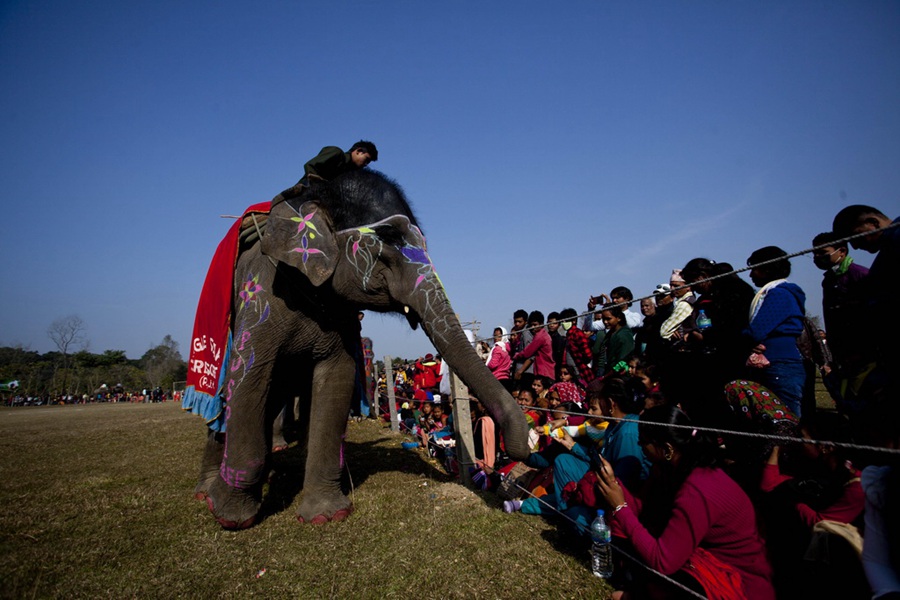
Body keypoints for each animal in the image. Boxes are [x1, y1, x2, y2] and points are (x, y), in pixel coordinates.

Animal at [191, 170, 528, 528]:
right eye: (389, 240)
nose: (517, 453)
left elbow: (337, 378)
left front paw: (327, 515)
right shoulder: (262, 296)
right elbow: (251, 378)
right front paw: (232, 518)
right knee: (230, 396)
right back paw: (206, 493)